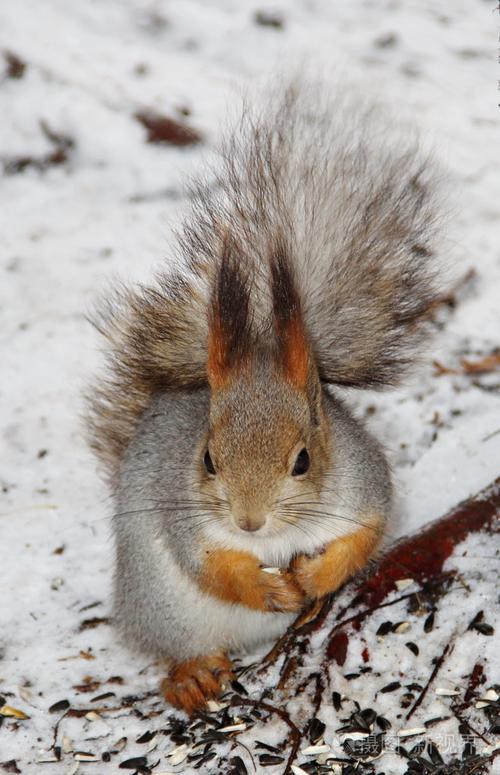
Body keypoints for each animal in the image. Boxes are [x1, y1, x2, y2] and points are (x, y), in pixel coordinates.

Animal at [86, 80, 442, 716]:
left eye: (302, 460)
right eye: (207, 459)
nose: (249, 522)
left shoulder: (362, 482)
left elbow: (365, 534)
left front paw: (316, 578)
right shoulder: (186, 518)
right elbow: (211, 566)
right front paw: (264, 585)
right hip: (159, 604)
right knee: (172, 648)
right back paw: (190, 676)